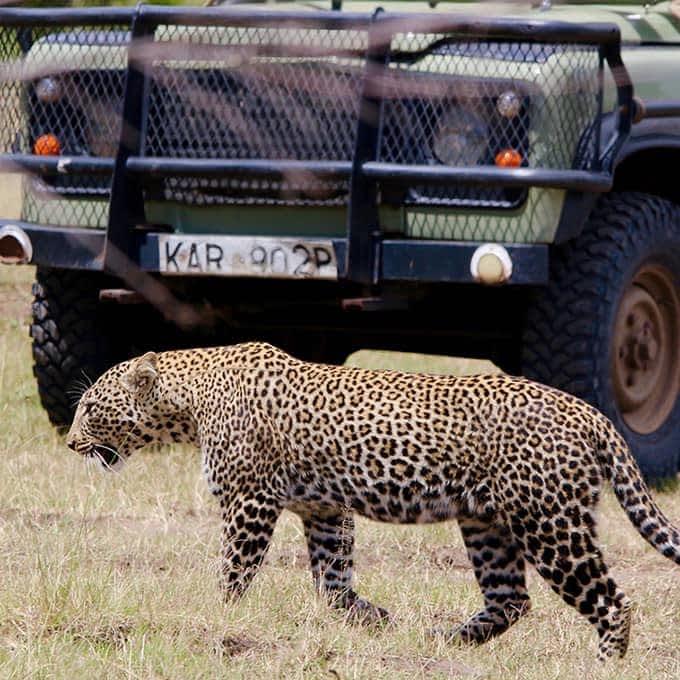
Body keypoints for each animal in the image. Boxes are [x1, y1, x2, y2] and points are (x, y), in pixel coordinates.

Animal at [67, 342, 680, 660]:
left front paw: (218, 618)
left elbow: (235, 571)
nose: (71, 443)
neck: (189, 399)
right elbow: (331, 580)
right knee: (511, 600)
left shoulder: (250, 502)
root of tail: (590, 412)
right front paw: (372, 619)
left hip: (549, 521)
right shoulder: (323, 510)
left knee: (611, 601)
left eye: (91, 407)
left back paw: (603, 665)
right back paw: (442, 641)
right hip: (487, 523)